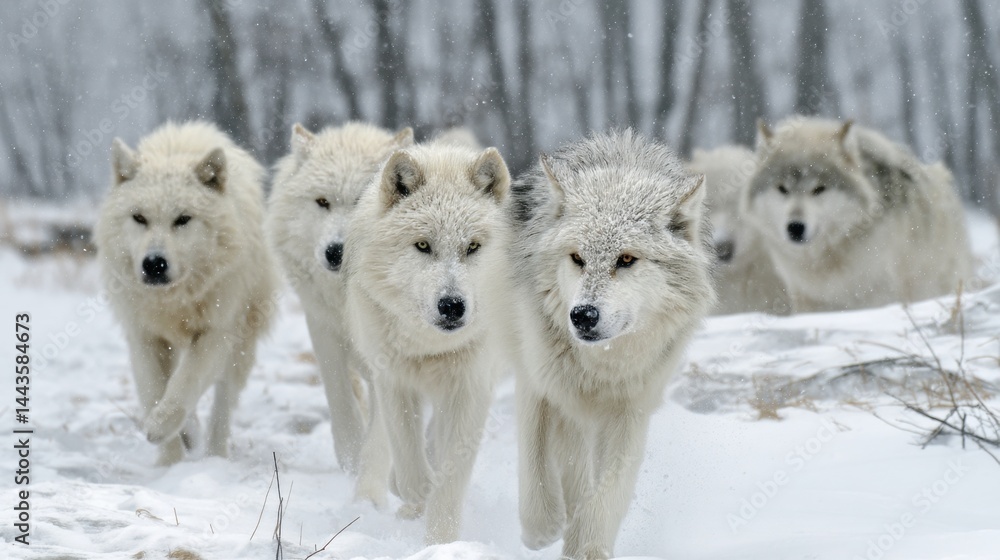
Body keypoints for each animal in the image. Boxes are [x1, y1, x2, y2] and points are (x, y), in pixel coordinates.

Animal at [94, 121, 278, 466]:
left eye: (182, 219)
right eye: (139, 218)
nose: (154, 264)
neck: (173, 299)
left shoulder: (216, 333)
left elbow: (185, 384)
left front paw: (161, 429)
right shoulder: (145, 338)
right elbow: (155, 391)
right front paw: (169, 463)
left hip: (241, 344)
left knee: (223, 402)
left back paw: (215, 454)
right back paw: (190, 435)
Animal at [266, 122, 412, 485]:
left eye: (362, 199)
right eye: (322, 202)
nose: (336, 252)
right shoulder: (322, 328)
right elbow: (341, 398)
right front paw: (352, 457)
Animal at [344, 142, 512, 544]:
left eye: (473, 247)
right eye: (423, 245)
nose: (452, 305)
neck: (429, 346)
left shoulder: (471, 388)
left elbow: (450, 478)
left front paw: (441, 542)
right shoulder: (394, 381)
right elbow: (408, 461)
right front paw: (415, 497)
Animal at [509, 130, 715, 560]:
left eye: (626, 259)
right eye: (577, 258)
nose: (583, 315)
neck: (600, 365)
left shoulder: (630, 410)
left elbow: (608, 494)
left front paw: (585, 546)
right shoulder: (539, 383)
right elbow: (535, 463)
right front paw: (543, 530)